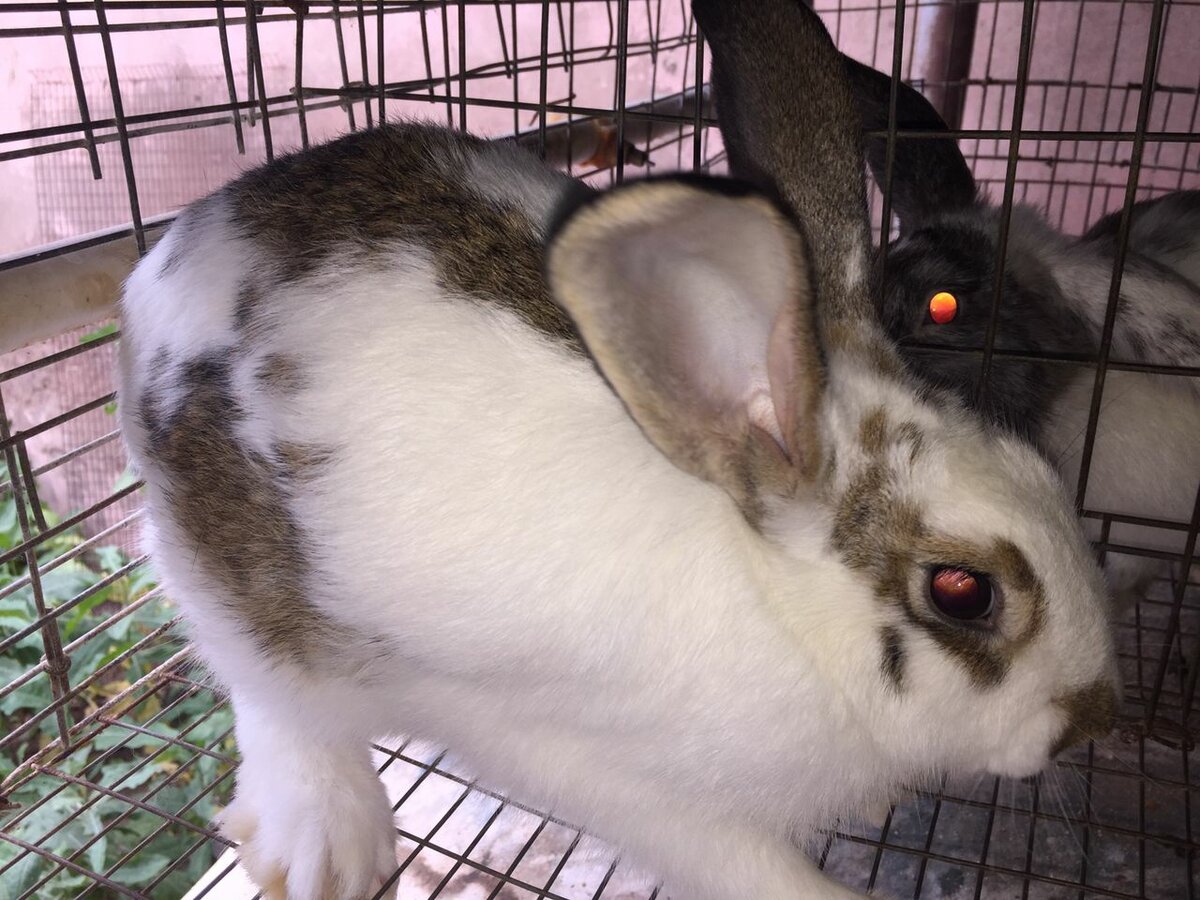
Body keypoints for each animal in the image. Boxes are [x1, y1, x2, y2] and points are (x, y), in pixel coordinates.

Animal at [117, 1, 1118, 897]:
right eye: (963, 592)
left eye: (1045, 469)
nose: (1090, 722)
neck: (781, 608)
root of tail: (172, 255)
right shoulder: (629, 783)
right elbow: (741, 864)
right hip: (229, 573)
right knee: (271, 695)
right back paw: (325, 849)